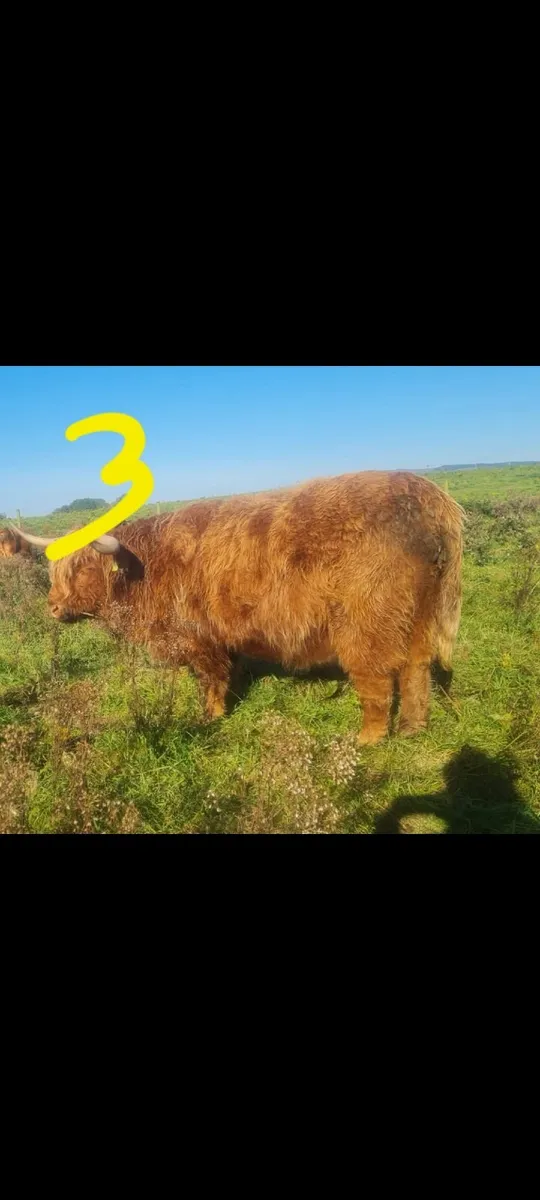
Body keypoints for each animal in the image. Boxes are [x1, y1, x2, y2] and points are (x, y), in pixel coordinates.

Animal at [10, 471, 464, 744]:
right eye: (53, 570)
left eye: (81, 567)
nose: (52, 608)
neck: (147, 566)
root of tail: (429, 497)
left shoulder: (199, 637)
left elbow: (210, 681)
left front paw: (209, 719)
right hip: (420, 615)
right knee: (416, 669)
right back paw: (412, 728)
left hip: (366, 622)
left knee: (376, 679)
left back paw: (367, 739)